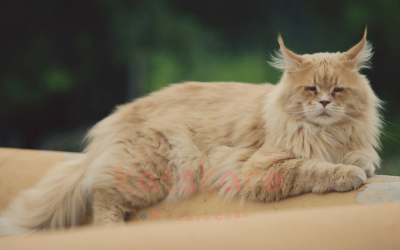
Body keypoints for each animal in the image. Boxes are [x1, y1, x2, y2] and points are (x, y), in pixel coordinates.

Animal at [0, 29, 382, 234]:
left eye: (338, 91)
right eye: (310, 89)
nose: (324, 103)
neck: (328, 135)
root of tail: (119, 116)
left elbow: (357, 155)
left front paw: (359, 162)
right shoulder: (261, 169)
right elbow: (313, 168)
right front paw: (347, 172)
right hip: (150, 171)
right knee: (101, 195)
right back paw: (112, 232)